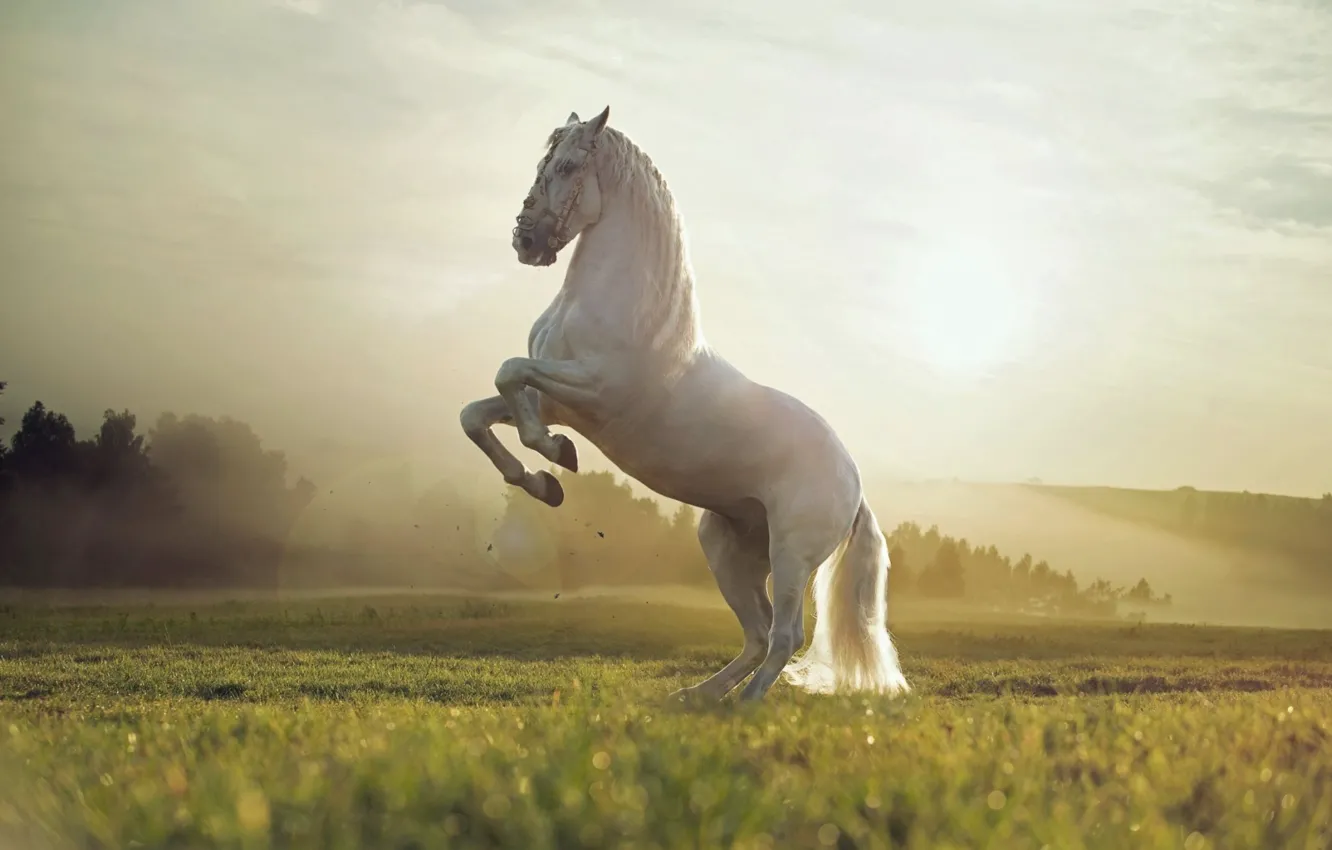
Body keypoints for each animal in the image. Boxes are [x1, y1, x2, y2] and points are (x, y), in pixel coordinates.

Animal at [460, 106, 909, 702]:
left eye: (569, 165)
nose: (526, 241)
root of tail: (853, 484)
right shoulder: (556, 400)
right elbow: (479, 412)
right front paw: (542, 481)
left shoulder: (593, 391)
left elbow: (510, 374)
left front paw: (555, 457)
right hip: (727, 548)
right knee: (757, 634)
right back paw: (695, 698)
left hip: (791, 556)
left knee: (785, 635)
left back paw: (744, 706)